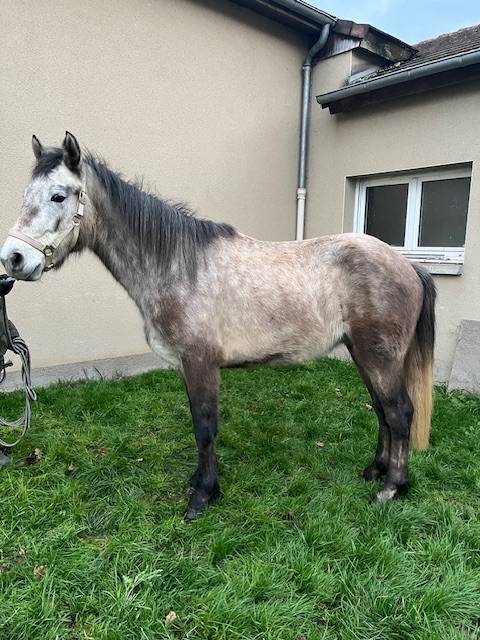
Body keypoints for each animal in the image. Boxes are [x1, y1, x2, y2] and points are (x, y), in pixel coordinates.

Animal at [0, 132, 436, 521]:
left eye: (59, 196)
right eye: (26, 194)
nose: (13, 259)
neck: (178, 265)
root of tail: (408, 265)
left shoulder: (201, 363)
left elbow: (205, 428)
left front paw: (203, 497)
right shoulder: (187, 367)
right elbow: (198, 425)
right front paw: (197, 482)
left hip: (379, 358)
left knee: (399, 412)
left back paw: (391, 487)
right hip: (363, 354)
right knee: (382, 411)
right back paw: (375, 471)